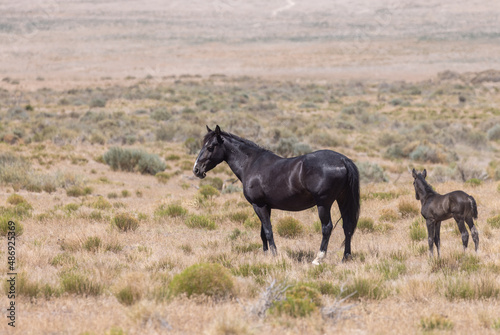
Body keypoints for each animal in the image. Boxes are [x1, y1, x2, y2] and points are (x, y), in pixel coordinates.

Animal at [192, 126, 360, 266]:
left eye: (210, 147)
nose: (196, 170)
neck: (251, 164)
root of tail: (342, 160)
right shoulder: (266, 206)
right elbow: (262, 233)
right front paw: (266, 254)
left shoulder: (258, 205)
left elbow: (268, 230)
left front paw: (274, 255)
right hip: (342, 199)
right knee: (347, 226)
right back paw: (345, 258)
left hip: (323, 204)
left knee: (327, 228)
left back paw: (318, 259)